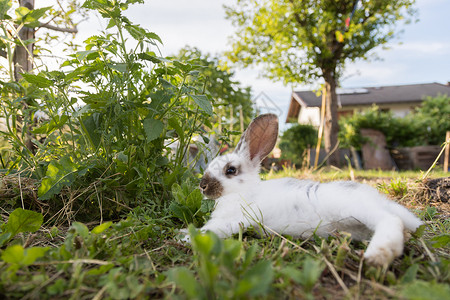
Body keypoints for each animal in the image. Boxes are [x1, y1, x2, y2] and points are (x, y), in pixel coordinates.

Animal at [185, 113, 424, 266]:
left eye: (231, 170)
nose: (202, 185)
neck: (243, 193)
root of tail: (380, 200)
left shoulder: (235, 219)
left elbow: (212, 229)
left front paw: (186, 236)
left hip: (360, 209)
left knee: (391, 221)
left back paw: (378, 256)